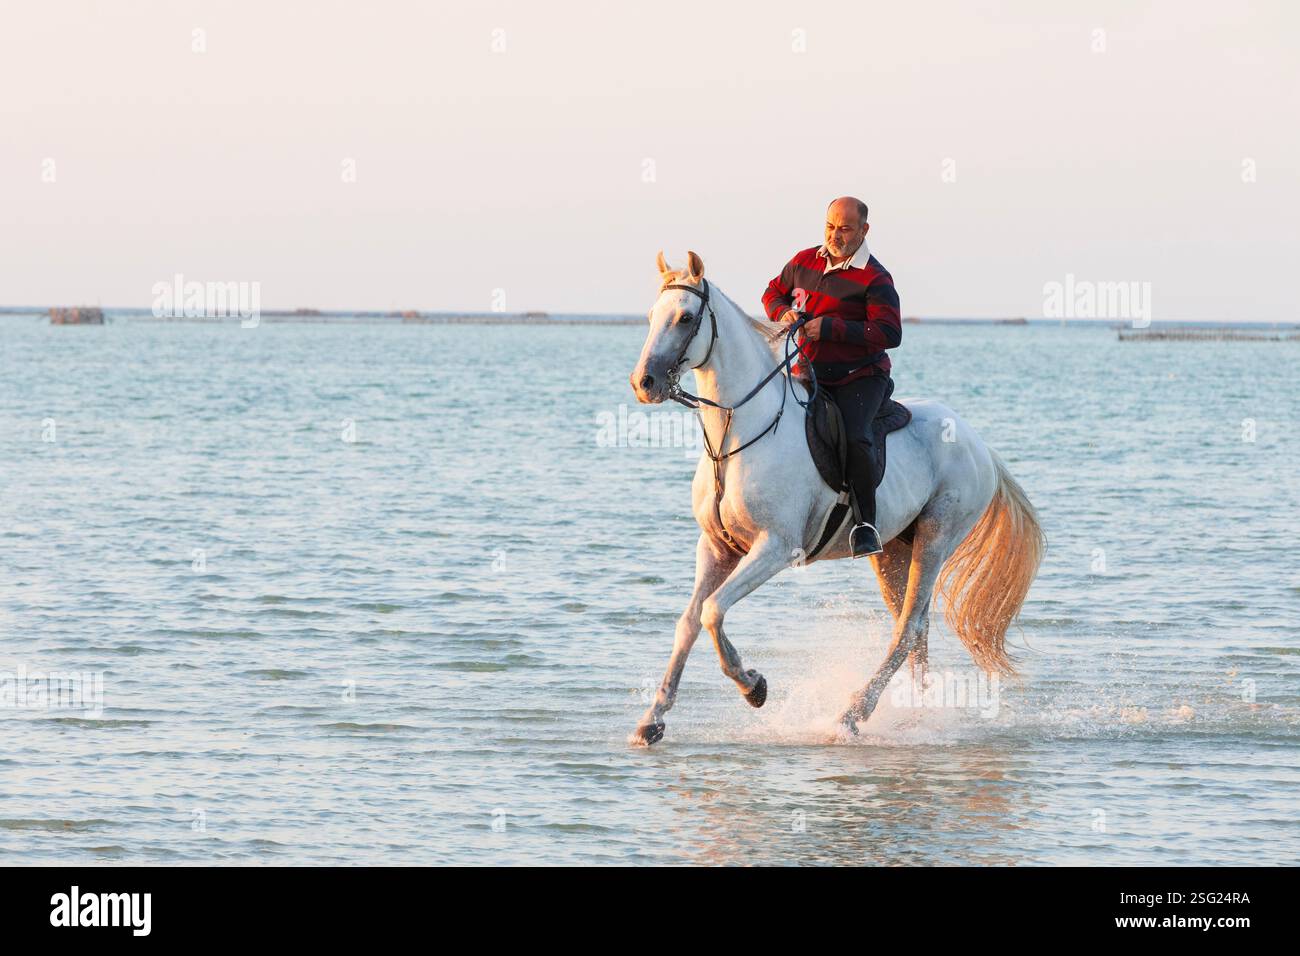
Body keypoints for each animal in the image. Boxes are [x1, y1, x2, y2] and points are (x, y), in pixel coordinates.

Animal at [627, 250, 1045, 746]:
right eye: (651, 316)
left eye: (686, 317)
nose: (644, 383)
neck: (738, 433)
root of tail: (979, 445)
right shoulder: (716, 547)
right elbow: (689, 621)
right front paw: (652, 719)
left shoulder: (775, 548)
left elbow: (712, 612)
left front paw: (754, 686)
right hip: (892, 550)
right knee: (915, 628)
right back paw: (915, 716)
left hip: (937, 538)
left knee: (908, 628)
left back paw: (852, 715)